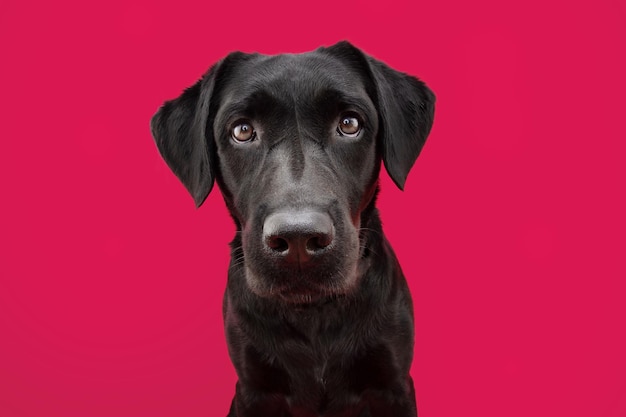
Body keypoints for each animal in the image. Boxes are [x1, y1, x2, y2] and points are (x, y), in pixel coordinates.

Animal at [151, 39, 434, 416]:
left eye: (349, 124)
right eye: (242, 130)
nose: (298, 238)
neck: (311, 312)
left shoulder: (392, 385)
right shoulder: (254, 390)